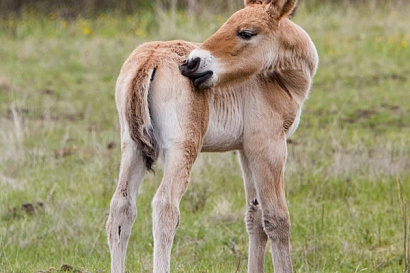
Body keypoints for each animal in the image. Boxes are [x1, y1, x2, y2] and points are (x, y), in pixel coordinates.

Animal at [105, 0, 318, 272]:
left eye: (245, 33)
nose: (191, 63)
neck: (275, 78)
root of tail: (151, 58)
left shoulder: (246, 149)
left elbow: (255, 217)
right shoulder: (268, 145)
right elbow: (276, 219)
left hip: (131, 146)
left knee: (121, 207)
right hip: (183, 147)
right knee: (165, 205)